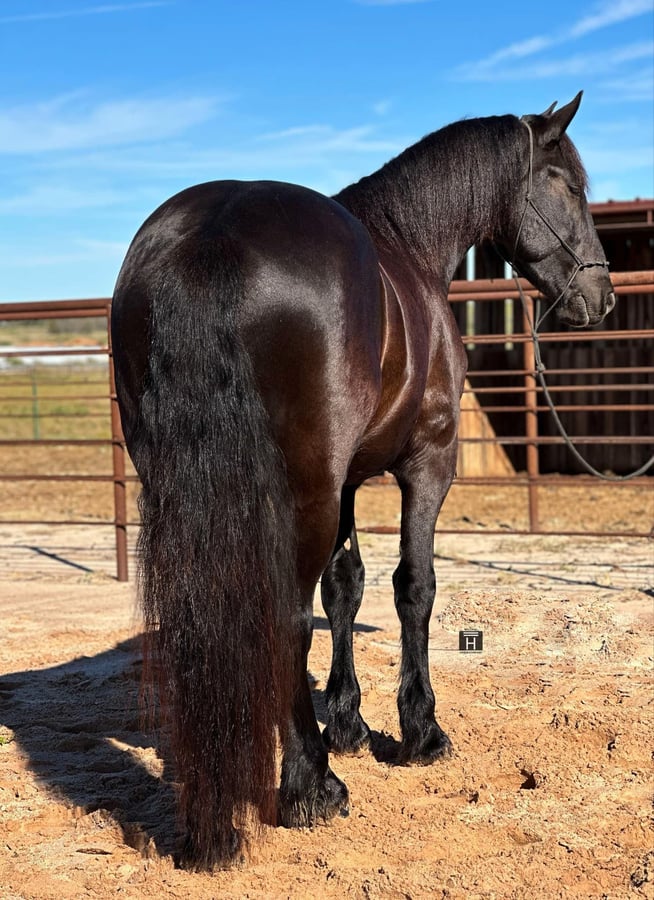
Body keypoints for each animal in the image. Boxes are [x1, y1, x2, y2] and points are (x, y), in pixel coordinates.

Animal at [110, 91, 615, 869]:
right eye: (570, 186)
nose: (602, 293)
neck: (407, 247)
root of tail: (212, 236)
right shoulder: (427, 463)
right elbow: (414, 587)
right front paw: (419, 731)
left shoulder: (346, 479)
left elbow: (344, 586)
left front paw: (346, 722)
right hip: (306, 489)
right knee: (285, 619)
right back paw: (311, 788)